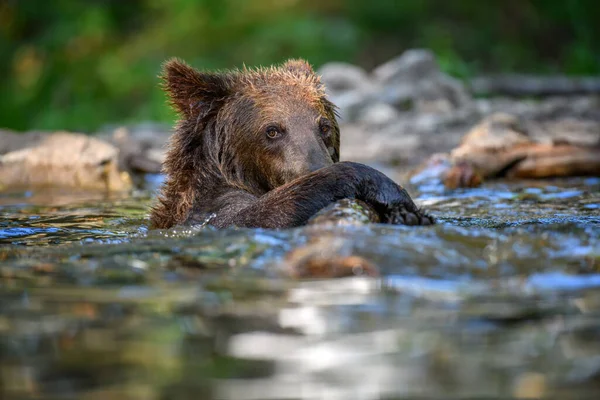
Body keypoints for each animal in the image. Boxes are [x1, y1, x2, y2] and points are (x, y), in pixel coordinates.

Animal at [149, 57, 432, 230]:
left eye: (324, 126)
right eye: (272, 130)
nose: (316, 167)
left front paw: (406, 213)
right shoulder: (209, 210)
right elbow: (256, 217)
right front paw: (392, 194)